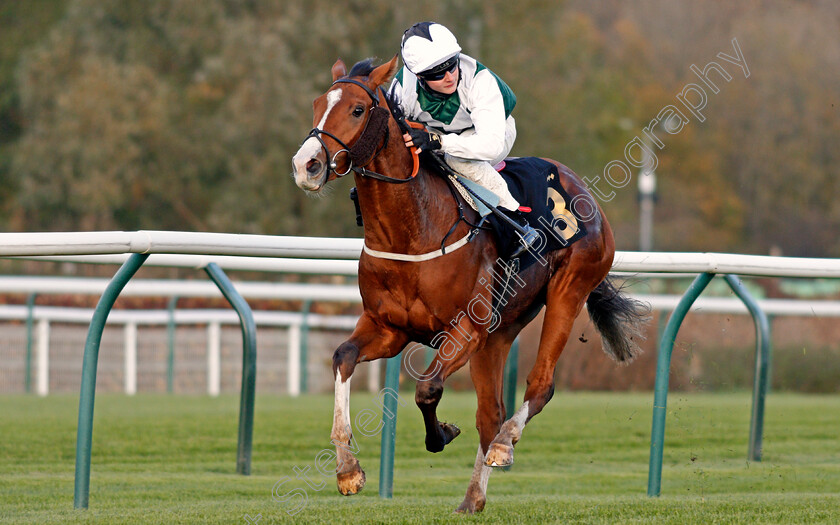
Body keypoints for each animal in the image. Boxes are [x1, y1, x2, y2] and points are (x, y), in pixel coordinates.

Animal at [292, 56, 648, 512]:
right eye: (318, 104)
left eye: (357, 109)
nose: (306, 165)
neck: (413, 229)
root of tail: (581, 188)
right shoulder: (389, 328)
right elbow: (343, 357)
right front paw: (347, 469)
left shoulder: (464, 329)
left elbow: (427, 389)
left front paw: (440, 435)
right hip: (499, 332)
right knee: (490, 412)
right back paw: (473, 496)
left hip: (569, 289)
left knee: (539, 386)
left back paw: (505, 445)